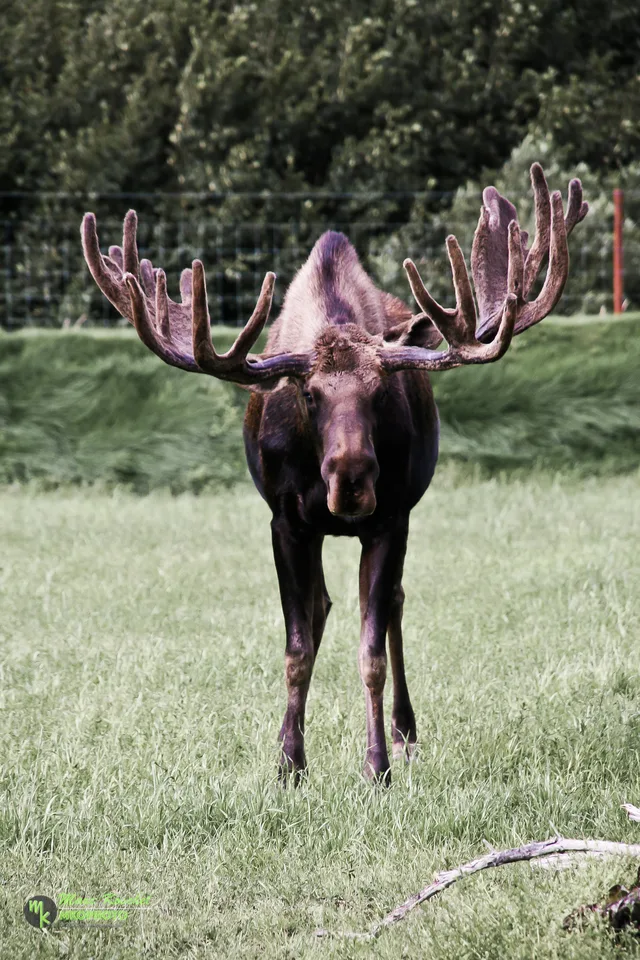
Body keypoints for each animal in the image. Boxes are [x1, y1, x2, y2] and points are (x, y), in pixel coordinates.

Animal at [81, 164, 587, 784]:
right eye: (309, 394)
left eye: (380, 391)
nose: (351, 477)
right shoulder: (286, 522)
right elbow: (297, 648)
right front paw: (289, 765)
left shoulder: (391, 519)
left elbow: (371, 650)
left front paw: (377, 766)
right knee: (321, 608)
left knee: (393, 603)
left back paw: (405, 734)